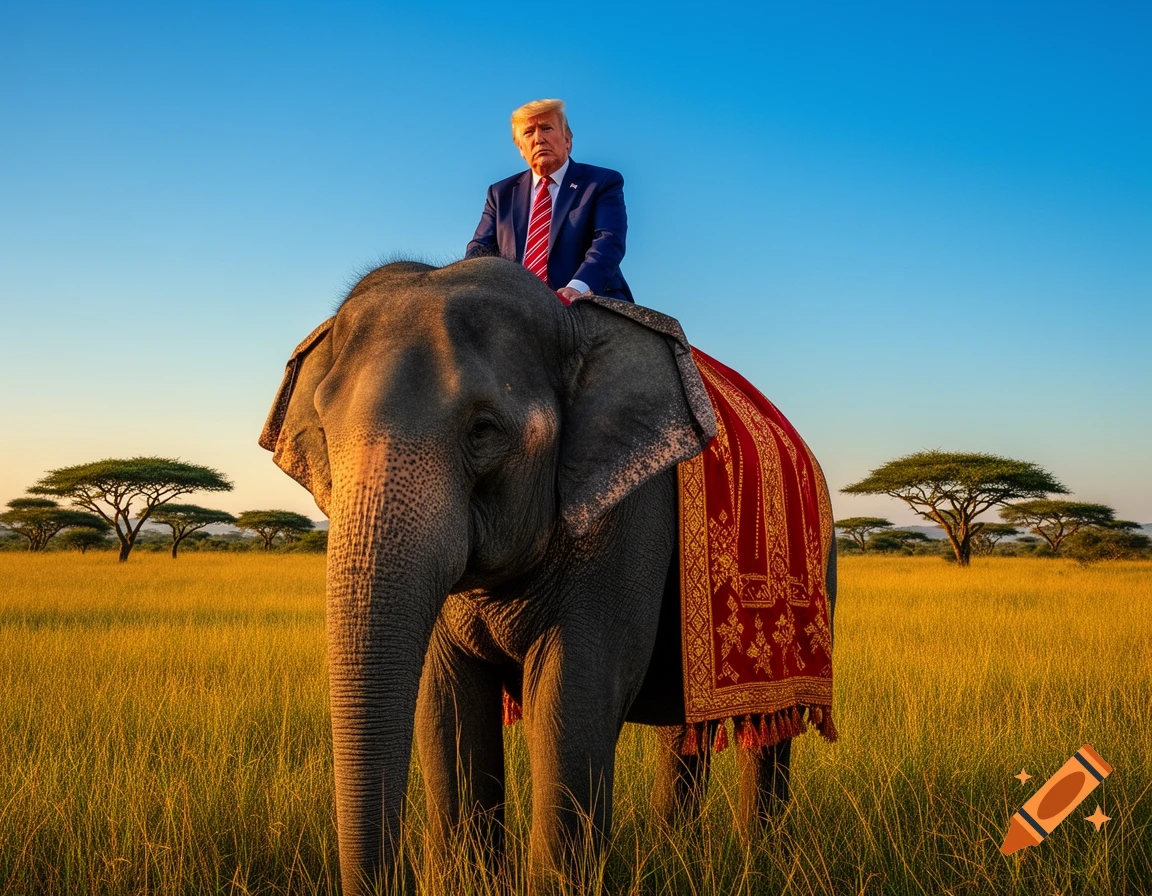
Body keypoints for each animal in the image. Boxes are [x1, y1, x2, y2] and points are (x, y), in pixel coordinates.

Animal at [259, 257, 836, 895]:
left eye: (484, 430)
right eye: (324, 433)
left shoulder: (627, 521)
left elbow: (570, 703)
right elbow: (447, 704)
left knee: (774, 728)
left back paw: (764, 859)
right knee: (682, 724)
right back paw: (677, 854)